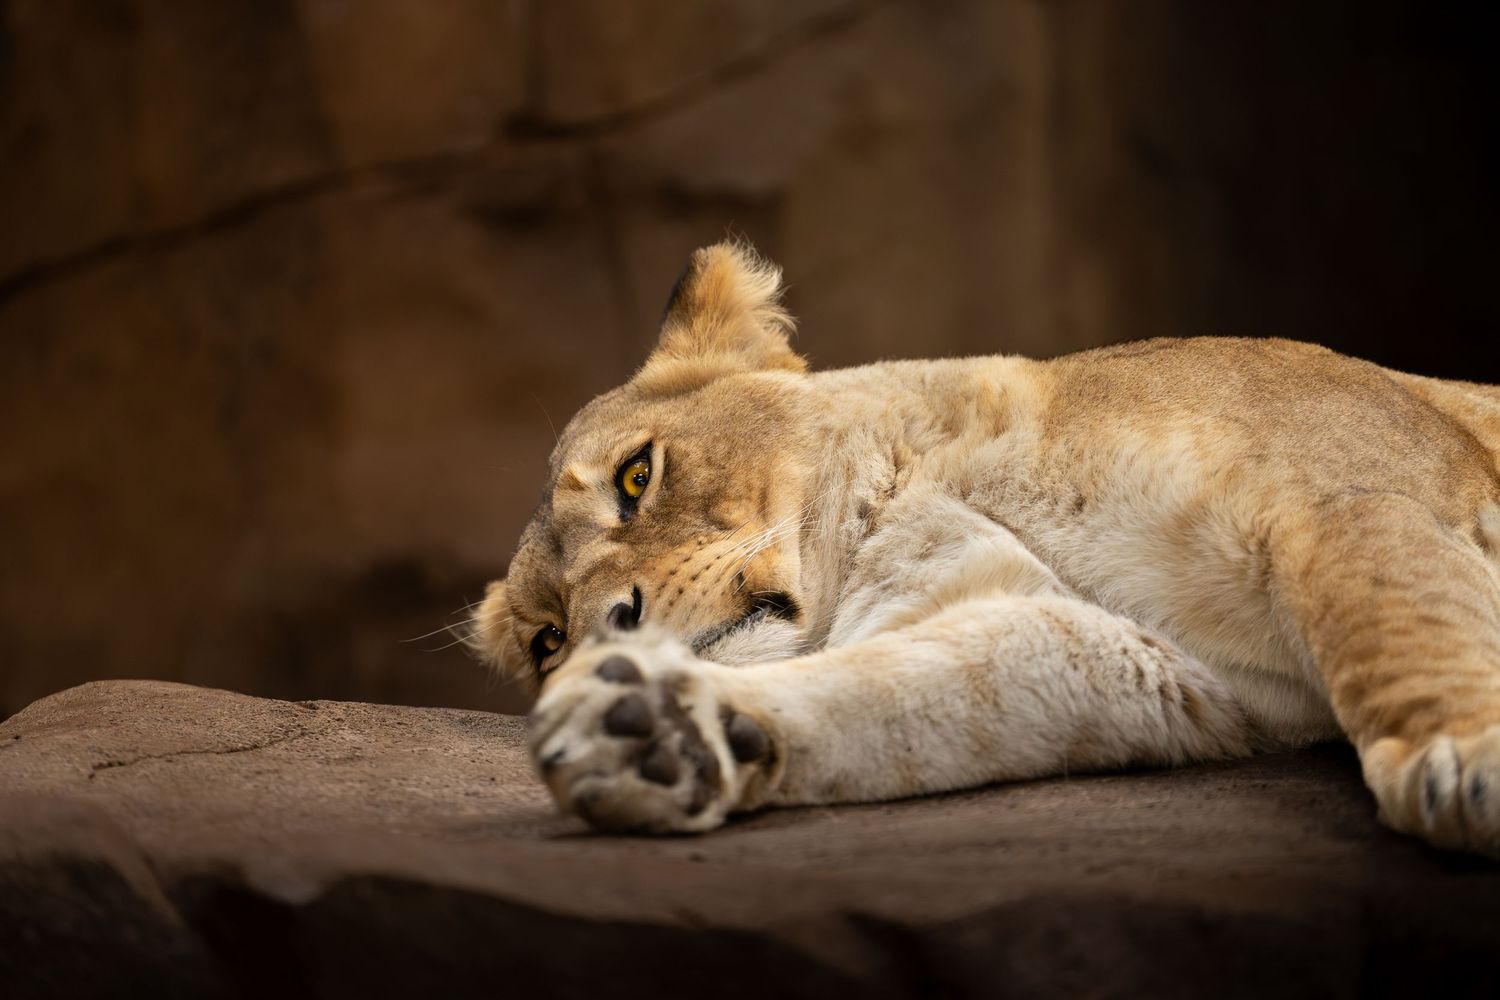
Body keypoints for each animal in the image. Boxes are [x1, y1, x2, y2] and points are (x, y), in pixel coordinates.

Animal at [469, 240, 1500, 855]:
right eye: (548, 642)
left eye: (636, 477)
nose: (609, 626)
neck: (930, 478)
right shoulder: (1137, 660)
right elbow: (905, 693)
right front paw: (657, 731)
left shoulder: (1344, 490)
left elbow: (1397, 617)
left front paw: (1462, 761)